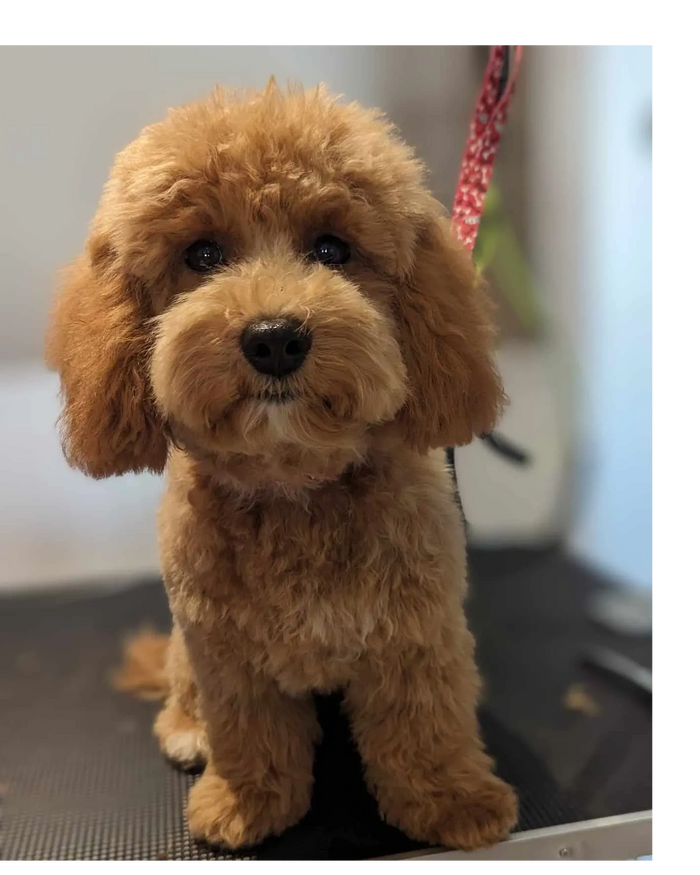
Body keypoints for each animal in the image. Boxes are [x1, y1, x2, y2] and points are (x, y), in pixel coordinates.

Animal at [45, 85, 516, 852]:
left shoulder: (416, 633)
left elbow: (424, 723)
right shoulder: (224, 654)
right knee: (181, 693)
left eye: (332, 248)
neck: (294, 487)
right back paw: (187, 731)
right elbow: (249, 732)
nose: (273, 339)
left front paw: (452, 801)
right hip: (185, 649)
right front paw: (248, 803)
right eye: (202, 254)